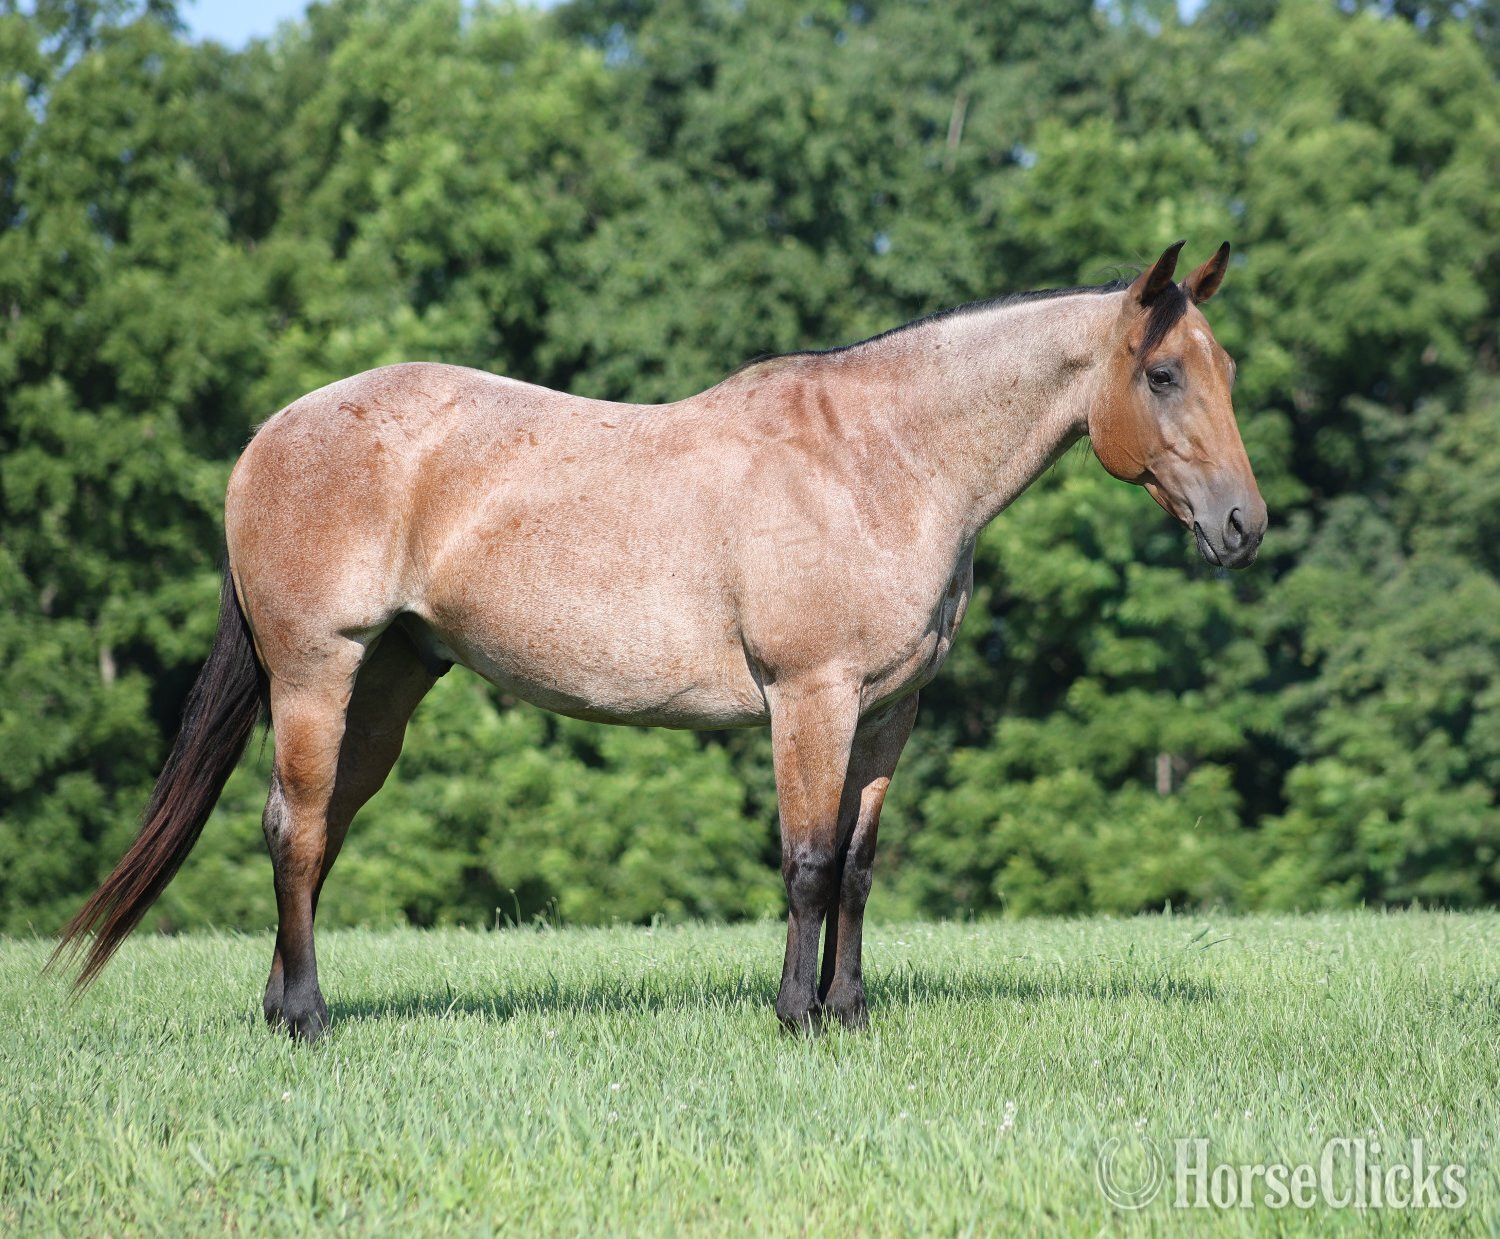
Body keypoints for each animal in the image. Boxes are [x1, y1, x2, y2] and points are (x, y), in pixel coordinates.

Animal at [53, 240, 1265, 1039]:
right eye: (1163, 374)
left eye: (1227, 373)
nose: (1243, 526)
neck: (879, 460)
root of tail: (269, 435)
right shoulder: (809, 697)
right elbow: (808, 862)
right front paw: (796, 1018)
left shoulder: (889, 711)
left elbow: (860, 867)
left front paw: (850, 1012)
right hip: (317, 672)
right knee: (295, 830)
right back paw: (305, 1019)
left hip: (387, 684)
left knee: (317, 828)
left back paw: (280, 1005)